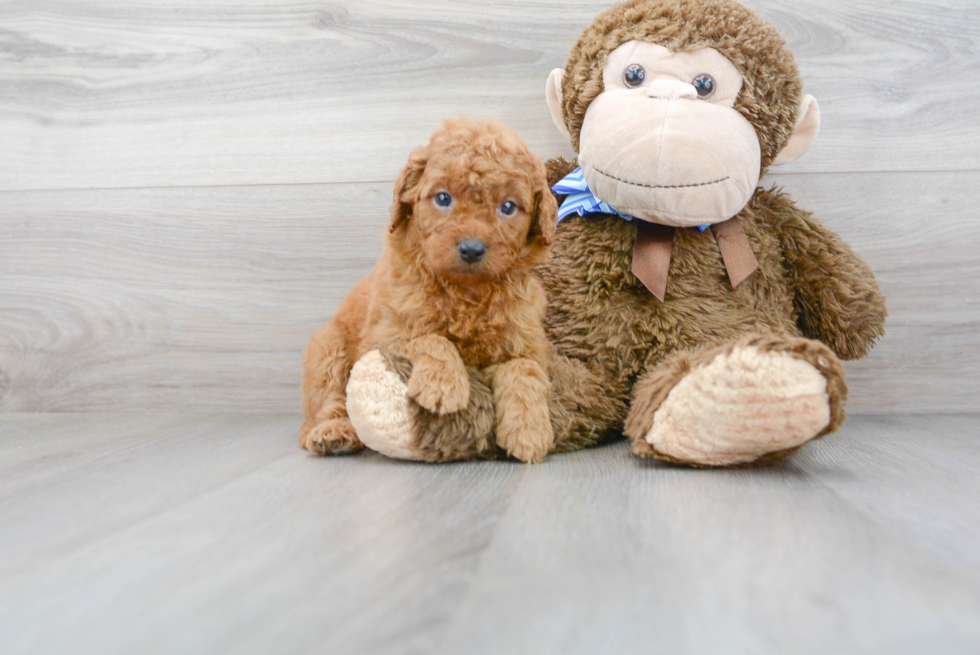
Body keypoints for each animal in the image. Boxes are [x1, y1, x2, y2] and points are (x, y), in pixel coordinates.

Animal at [298, 120, 560, 464]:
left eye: (507, 207)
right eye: (443, 198)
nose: (471, 249)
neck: (467, 293)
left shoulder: (525, 340)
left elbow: (524, 371)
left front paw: (529, 432)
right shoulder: (385, 332)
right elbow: (428, 338)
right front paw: (443, 387)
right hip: (328, 349)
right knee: (329, 402)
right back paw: (334, 433)